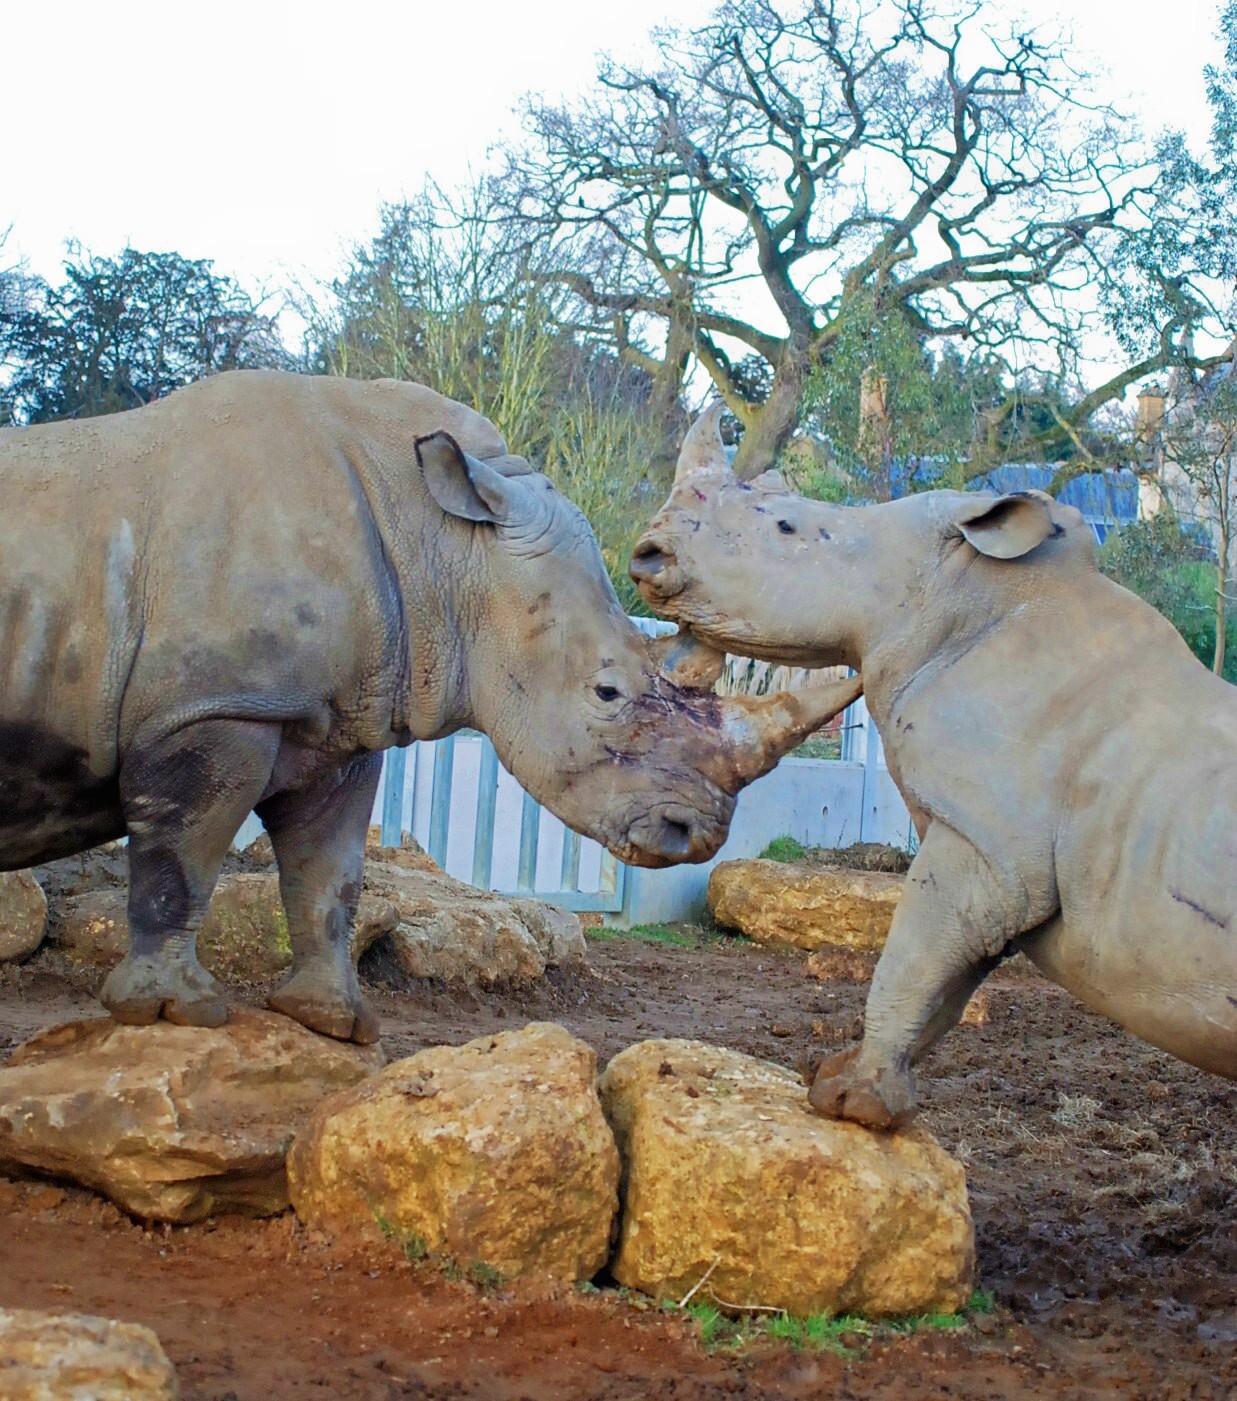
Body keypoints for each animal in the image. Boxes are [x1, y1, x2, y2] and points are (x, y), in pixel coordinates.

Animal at [0, 373, 860, 1042]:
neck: (447, 546)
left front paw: (333, 1021)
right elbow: (182, 854)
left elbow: (330, 874)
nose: (697, 834)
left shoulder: (331, 720)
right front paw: (174, 1013)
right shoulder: (216, 704)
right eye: (606, 691)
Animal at [630, 405, 1237, 1127]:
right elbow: (943, 985)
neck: (944, 589)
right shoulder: (992, 853)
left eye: (785, 528)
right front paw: (841, 1079)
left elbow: (910, 957)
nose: (647, 554)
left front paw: (853, 1104)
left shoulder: (991, 847)